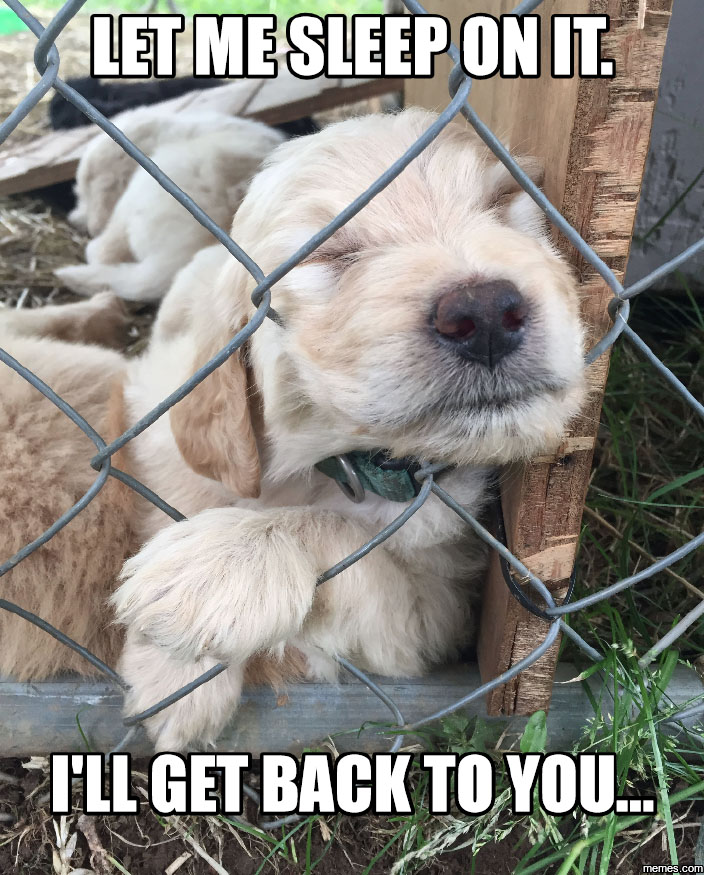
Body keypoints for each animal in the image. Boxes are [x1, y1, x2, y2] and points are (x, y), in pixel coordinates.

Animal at [0, 110, 586, 750]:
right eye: (330, 253)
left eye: (504, 200)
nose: (484, 315)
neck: (335, 463)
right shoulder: (154, 419)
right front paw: (175, 672)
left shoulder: (431, 613)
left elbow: (344, 540)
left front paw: (216, 566)